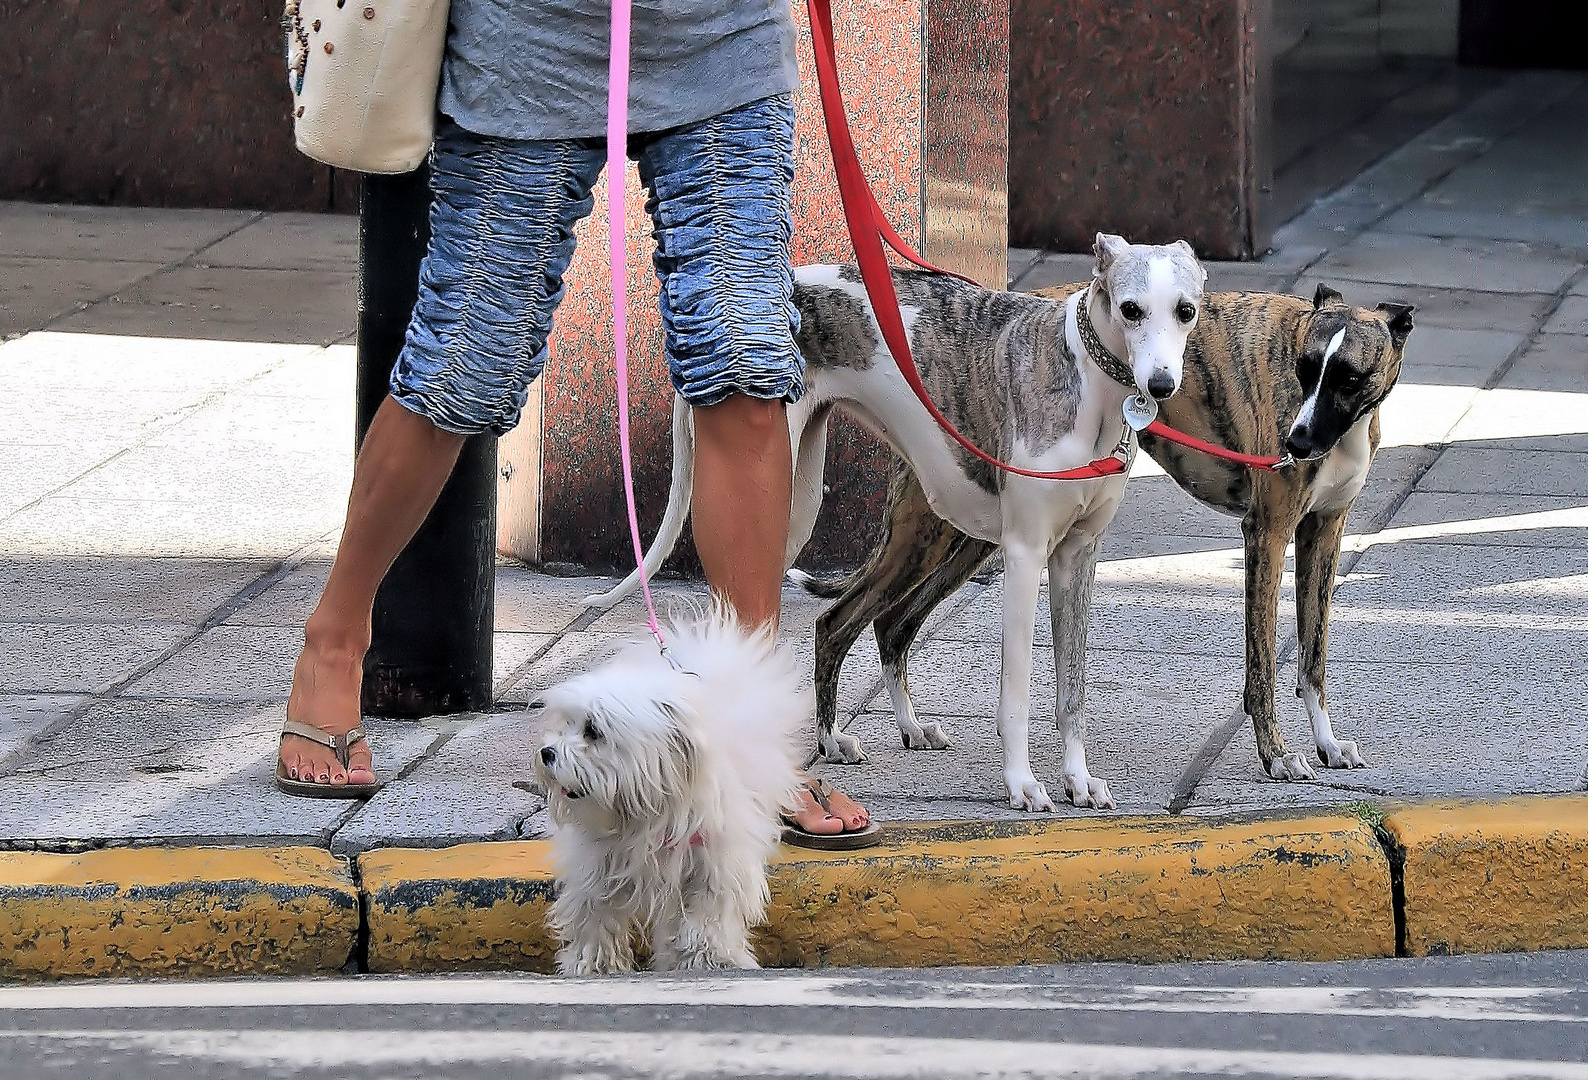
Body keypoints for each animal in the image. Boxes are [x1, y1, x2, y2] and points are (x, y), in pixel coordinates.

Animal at [533, 603, 806, 972]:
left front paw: (707, 959)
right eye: (567, 724)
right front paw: (593, 964)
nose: (547, 753)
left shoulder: (715, 862)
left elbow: (706, 916)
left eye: (593, 730)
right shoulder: (598, 864)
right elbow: (594, 913)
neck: (645, 811)